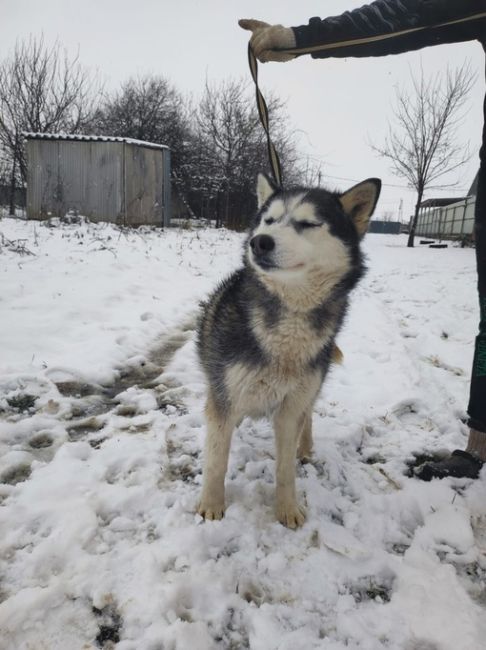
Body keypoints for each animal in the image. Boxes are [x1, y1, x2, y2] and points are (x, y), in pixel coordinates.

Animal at [196, 173, 380, 528]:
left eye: (308, 223)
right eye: (268, 220)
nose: (260, 242)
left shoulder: (290, 407)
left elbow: (285, 469)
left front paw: (287, 509)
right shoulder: (224, 397)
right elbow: (216, 460)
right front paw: (211, 505)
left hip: (310, 387)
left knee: (308, 416)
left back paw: (305, 447)